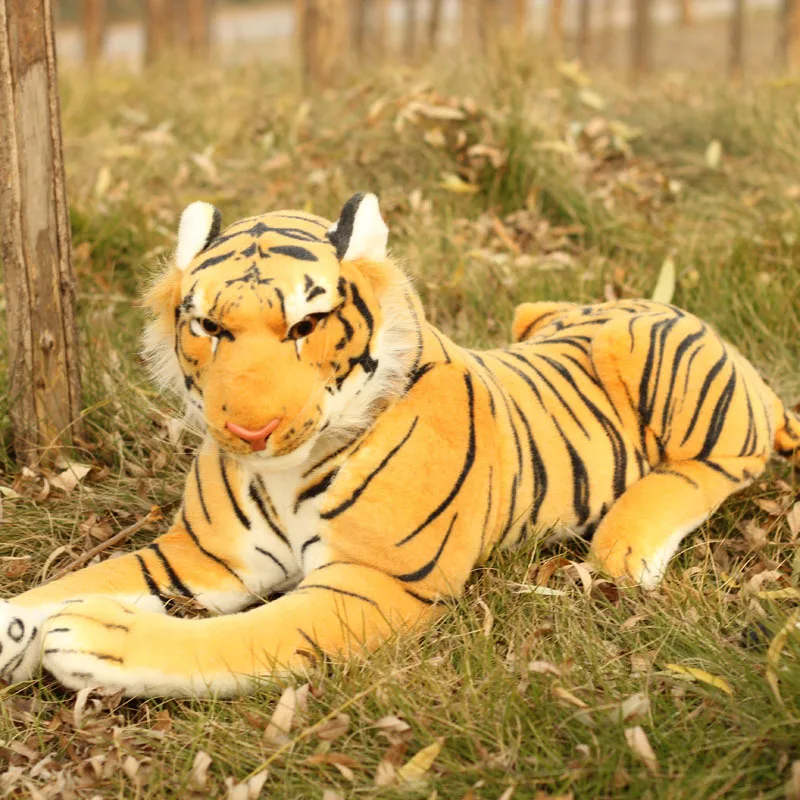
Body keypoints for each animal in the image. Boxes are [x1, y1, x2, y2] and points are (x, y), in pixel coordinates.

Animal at [0, 192, 797, 698]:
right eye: (208, 327)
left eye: (306, 325)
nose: (249, 430)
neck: (282, 471)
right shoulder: (202, 554)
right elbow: (81, 579)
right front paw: (19, 625)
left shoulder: (371, 582)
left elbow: (235, 637)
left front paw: (95, 636)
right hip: (535, 312)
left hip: (661, 366)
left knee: (721, 464)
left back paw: (632, 542)